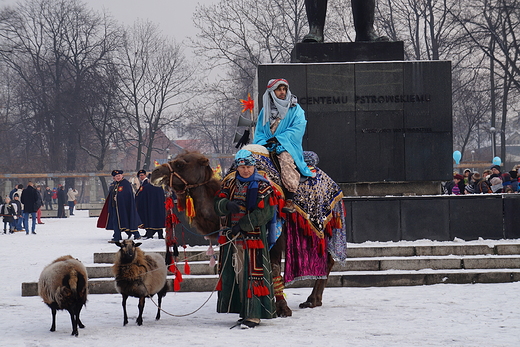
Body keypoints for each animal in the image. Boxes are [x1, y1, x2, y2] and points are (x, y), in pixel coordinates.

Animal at [150, 145, 346, 318]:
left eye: (180, 164)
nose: (154, 173)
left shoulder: (276, 235)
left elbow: (275, 268)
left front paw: (282, 308)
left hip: (326, 224)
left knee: (328, 259)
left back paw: (312, 299)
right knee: (326, 260)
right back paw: (314, 300)